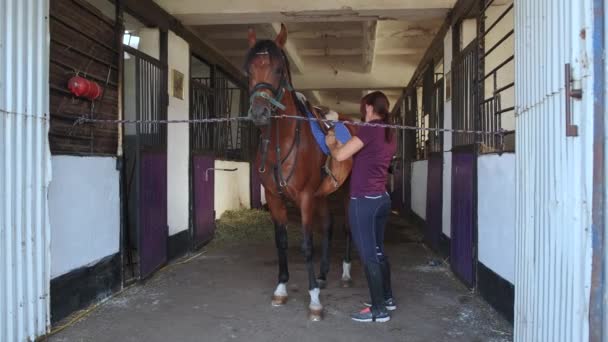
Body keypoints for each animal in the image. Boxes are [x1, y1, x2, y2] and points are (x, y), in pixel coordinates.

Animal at [243, 24, 356, 320]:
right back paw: (324, 275)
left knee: (347, 227)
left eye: (278, 69)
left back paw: (345, 273)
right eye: (249, 70)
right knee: (328, 225)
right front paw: (281, 289)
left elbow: (306, 245)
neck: (282, 142)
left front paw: (314, 299)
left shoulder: (305, 197)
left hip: (346, 190)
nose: (259, 113)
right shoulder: (275, 197)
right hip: (323, 194)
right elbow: (281, 241)